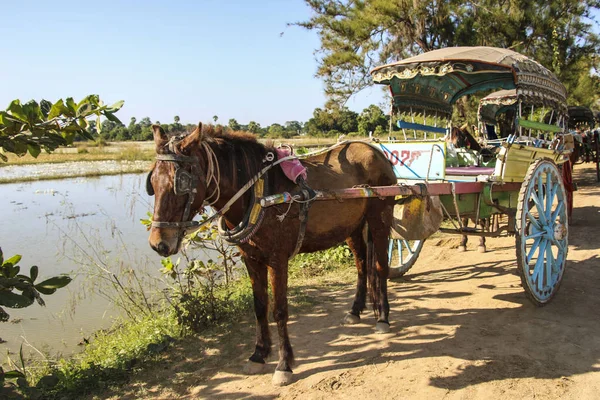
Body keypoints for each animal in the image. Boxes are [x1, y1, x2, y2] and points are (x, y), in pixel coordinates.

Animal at [146, 123, 398, 386]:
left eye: (182, 182)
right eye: (152, 182)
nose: (158, 243)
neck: (258, 194)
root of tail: (376, 151)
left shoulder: (278, 260)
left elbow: (279, 310)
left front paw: (284, 364)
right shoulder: (252, 259)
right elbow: (259, 307)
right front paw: (259, 354)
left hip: (380, 217)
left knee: (380, 266)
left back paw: (383, 317)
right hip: (352, 227)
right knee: (361, 264)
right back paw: (355, 310)